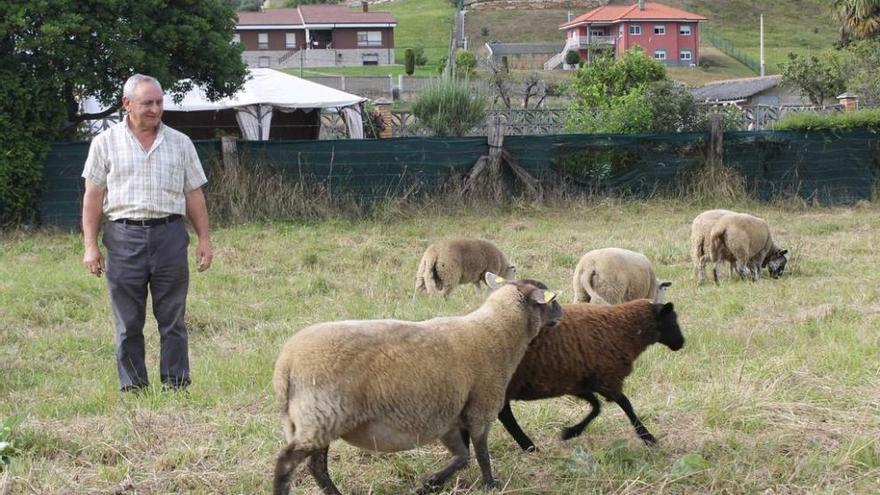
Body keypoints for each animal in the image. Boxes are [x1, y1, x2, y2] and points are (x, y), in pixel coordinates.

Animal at [270, 274, 564, 494]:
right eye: (551, 300)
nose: (561, 312)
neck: (497, 333)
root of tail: (286, 365)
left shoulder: (450, 415)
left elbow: (463, 456)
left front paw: (431, 483)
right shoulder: (481, 408)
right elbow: (480, 454)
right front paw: (490, 484)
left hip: (312, 421)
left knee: (316, 466)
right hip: (322, 415)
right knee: (288, 464)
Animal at [498, 298, 684, 454]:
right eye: (672, 319)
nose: (681, 343)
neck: (623, 328)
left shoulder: (579, 382)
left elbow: (596, 407)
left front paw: (570, 432)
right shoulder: (607, 379)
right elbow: (626, 405)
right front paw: (647, 437)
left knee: (504, 415)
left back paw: (528, 446)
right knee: (505, 415)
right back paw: (529, 446)